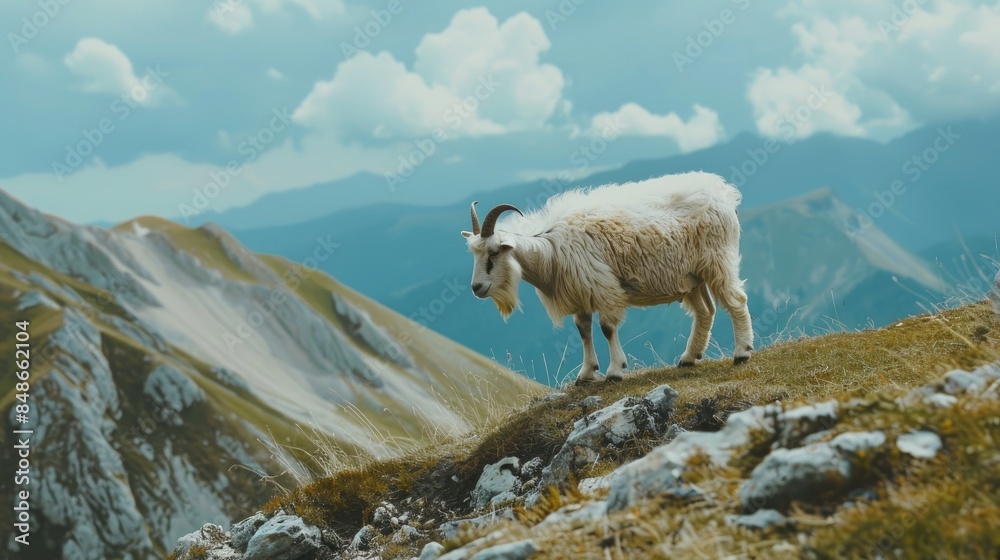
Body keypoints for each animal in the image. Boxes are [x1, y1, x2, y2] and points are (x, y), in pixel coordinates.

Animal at [461, 172, 753, 383]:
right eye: (473, 254)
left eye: (494, 252)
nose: (477, 287)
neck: (551, 249)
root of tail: (725, 194)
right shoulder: (580, 293)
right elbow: (583, 330)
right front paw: (586, 373)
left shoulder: (602, 287)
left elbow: (607, 328)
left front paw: (615, 370)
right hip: (691, 276)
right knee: (705, 311)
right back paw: (689, 357)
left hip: (718, 260)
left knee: (736, 300)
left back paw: (742, 352)